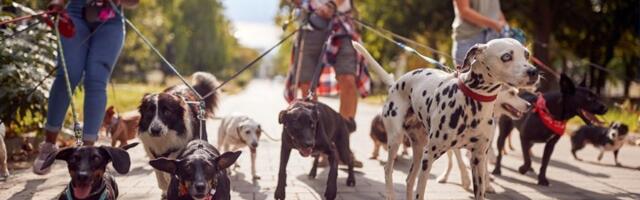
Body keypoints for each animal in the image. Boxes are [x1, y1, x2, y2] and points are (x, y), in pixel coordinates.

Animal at [352, 38, 536, 200]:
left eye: (526, 54)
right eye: (506, 56)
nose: (533, 72)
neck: (473, 105)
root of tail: (395, 82)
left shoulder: (478, 158)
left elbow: (480, 190)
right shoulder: (429, 157)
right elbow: (421, 192)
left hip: (419, 149)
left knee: (409, 180)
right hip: (397, 140)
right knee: (388, 170)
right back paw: (390, 193)